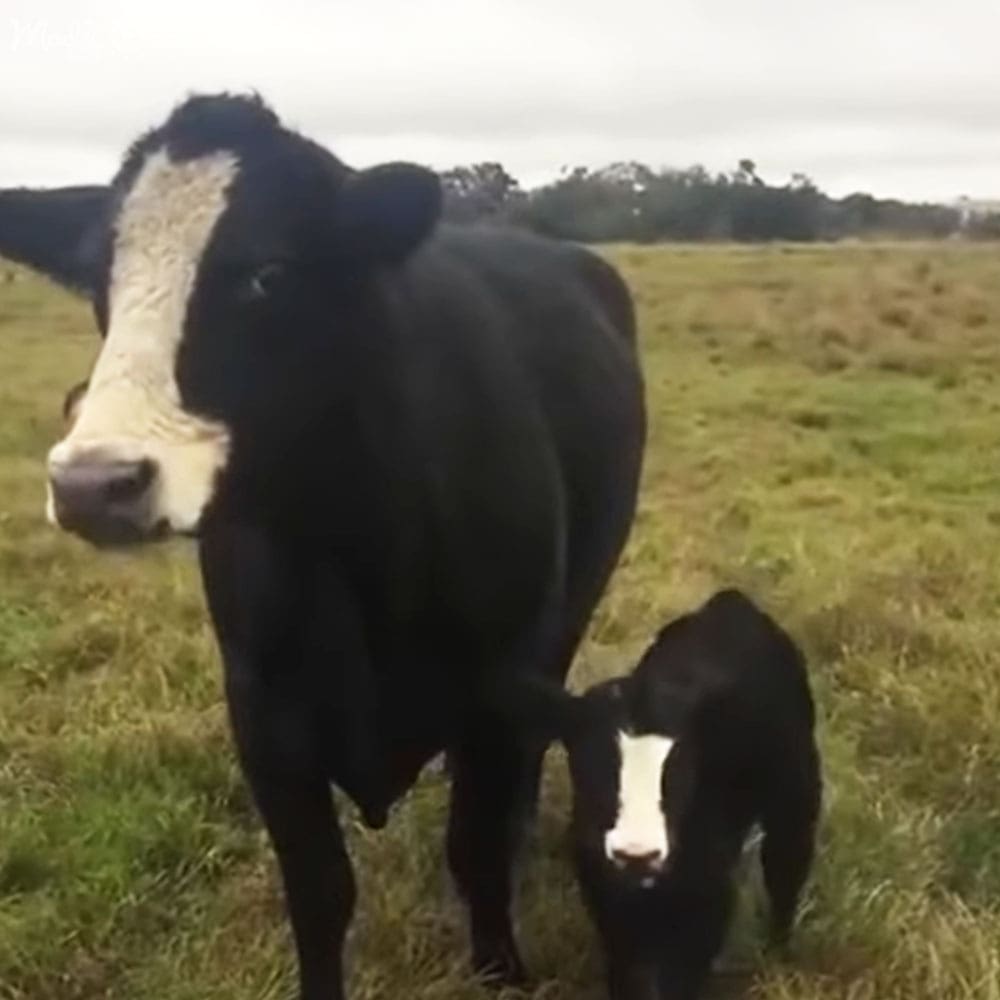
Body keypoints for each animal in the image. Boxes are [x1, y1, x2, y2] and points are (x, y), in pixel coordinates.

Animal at [0, 93, 646, 999]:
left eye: (268, 274)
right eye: (101, 282)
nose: (95, 484)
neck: (353, 551)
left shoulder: (500, 685)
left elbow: (476, 853)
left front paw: (502, 972)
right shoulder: (264, 709)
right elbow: (318, 890)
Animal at [507, 589, 821, 1000]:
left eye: (680, 772)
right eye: (589, 766)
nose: (637, 853)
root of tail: (731, 602)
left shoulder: (707, 885)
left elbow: (685, 968)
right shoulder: (605, 887)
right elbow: (626, 965)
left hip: (795, 792)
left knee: (787, 867)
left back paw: (777, 956)